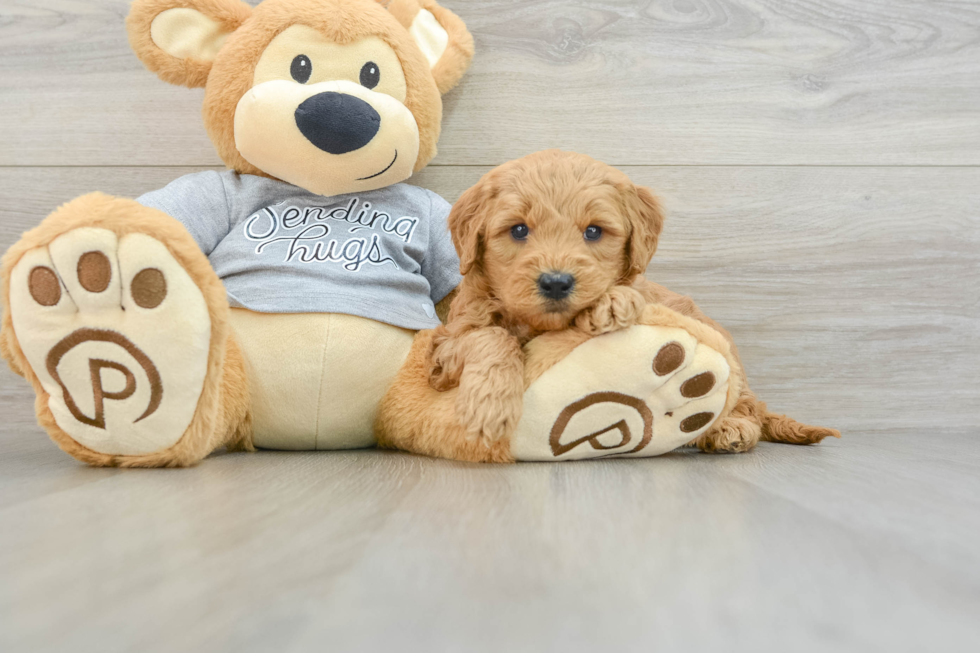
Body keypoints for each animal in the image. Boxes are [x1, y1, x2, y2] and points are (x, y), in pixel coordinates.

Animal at [424, 148, 840, 454]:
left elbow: (633, 293)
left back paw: (728, 428)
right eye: (519, 230)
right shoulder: (448, 343)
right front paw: (490, 407)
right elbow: (491, 337)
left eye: (594, 231)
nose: (556, 283)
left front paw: (611, 301)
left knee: (746, 406)